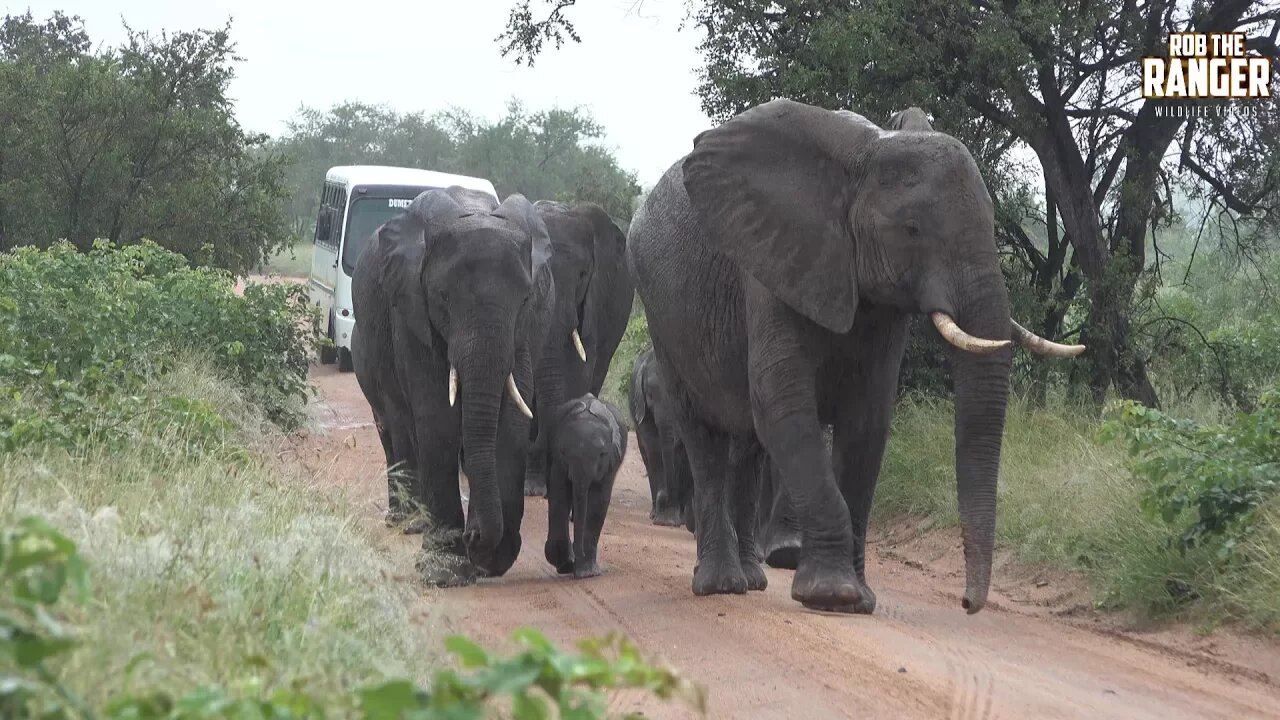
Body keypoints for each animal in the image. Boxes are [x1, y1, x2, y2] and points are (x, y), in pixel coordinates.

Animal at [350, 183, 555, 584]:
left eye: (525, 298)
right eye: (443, 297)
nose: (473, 538)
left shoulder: (526, 327)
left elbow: (511, 421)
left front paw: (492, 561)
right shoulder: (411, 312)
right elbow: (437, 420)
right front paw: (446, 573)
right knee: (395, 428)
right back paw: (408, 523)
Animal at [542, 392, 627, 576]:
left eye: (602, 454)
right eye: (563, 452)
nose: (577, 554)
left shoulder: (610, 462)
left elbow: (599, 501)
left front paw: (587, 573)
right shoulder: (558, 460)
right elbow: (559, 494)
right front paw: (566, 563)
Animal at [624, 96, 1085, 609]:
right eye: (911, 229)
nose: (968, 603)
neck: (871, 150)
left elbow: (867, 419)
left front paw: (857, 600)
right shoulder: (770, 262)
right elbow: (785, 406)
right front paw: (832, 595)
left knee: (747, 446)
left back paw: (753, 579)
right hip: (661, 314)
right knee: (703, 438)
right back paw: (721, 585)